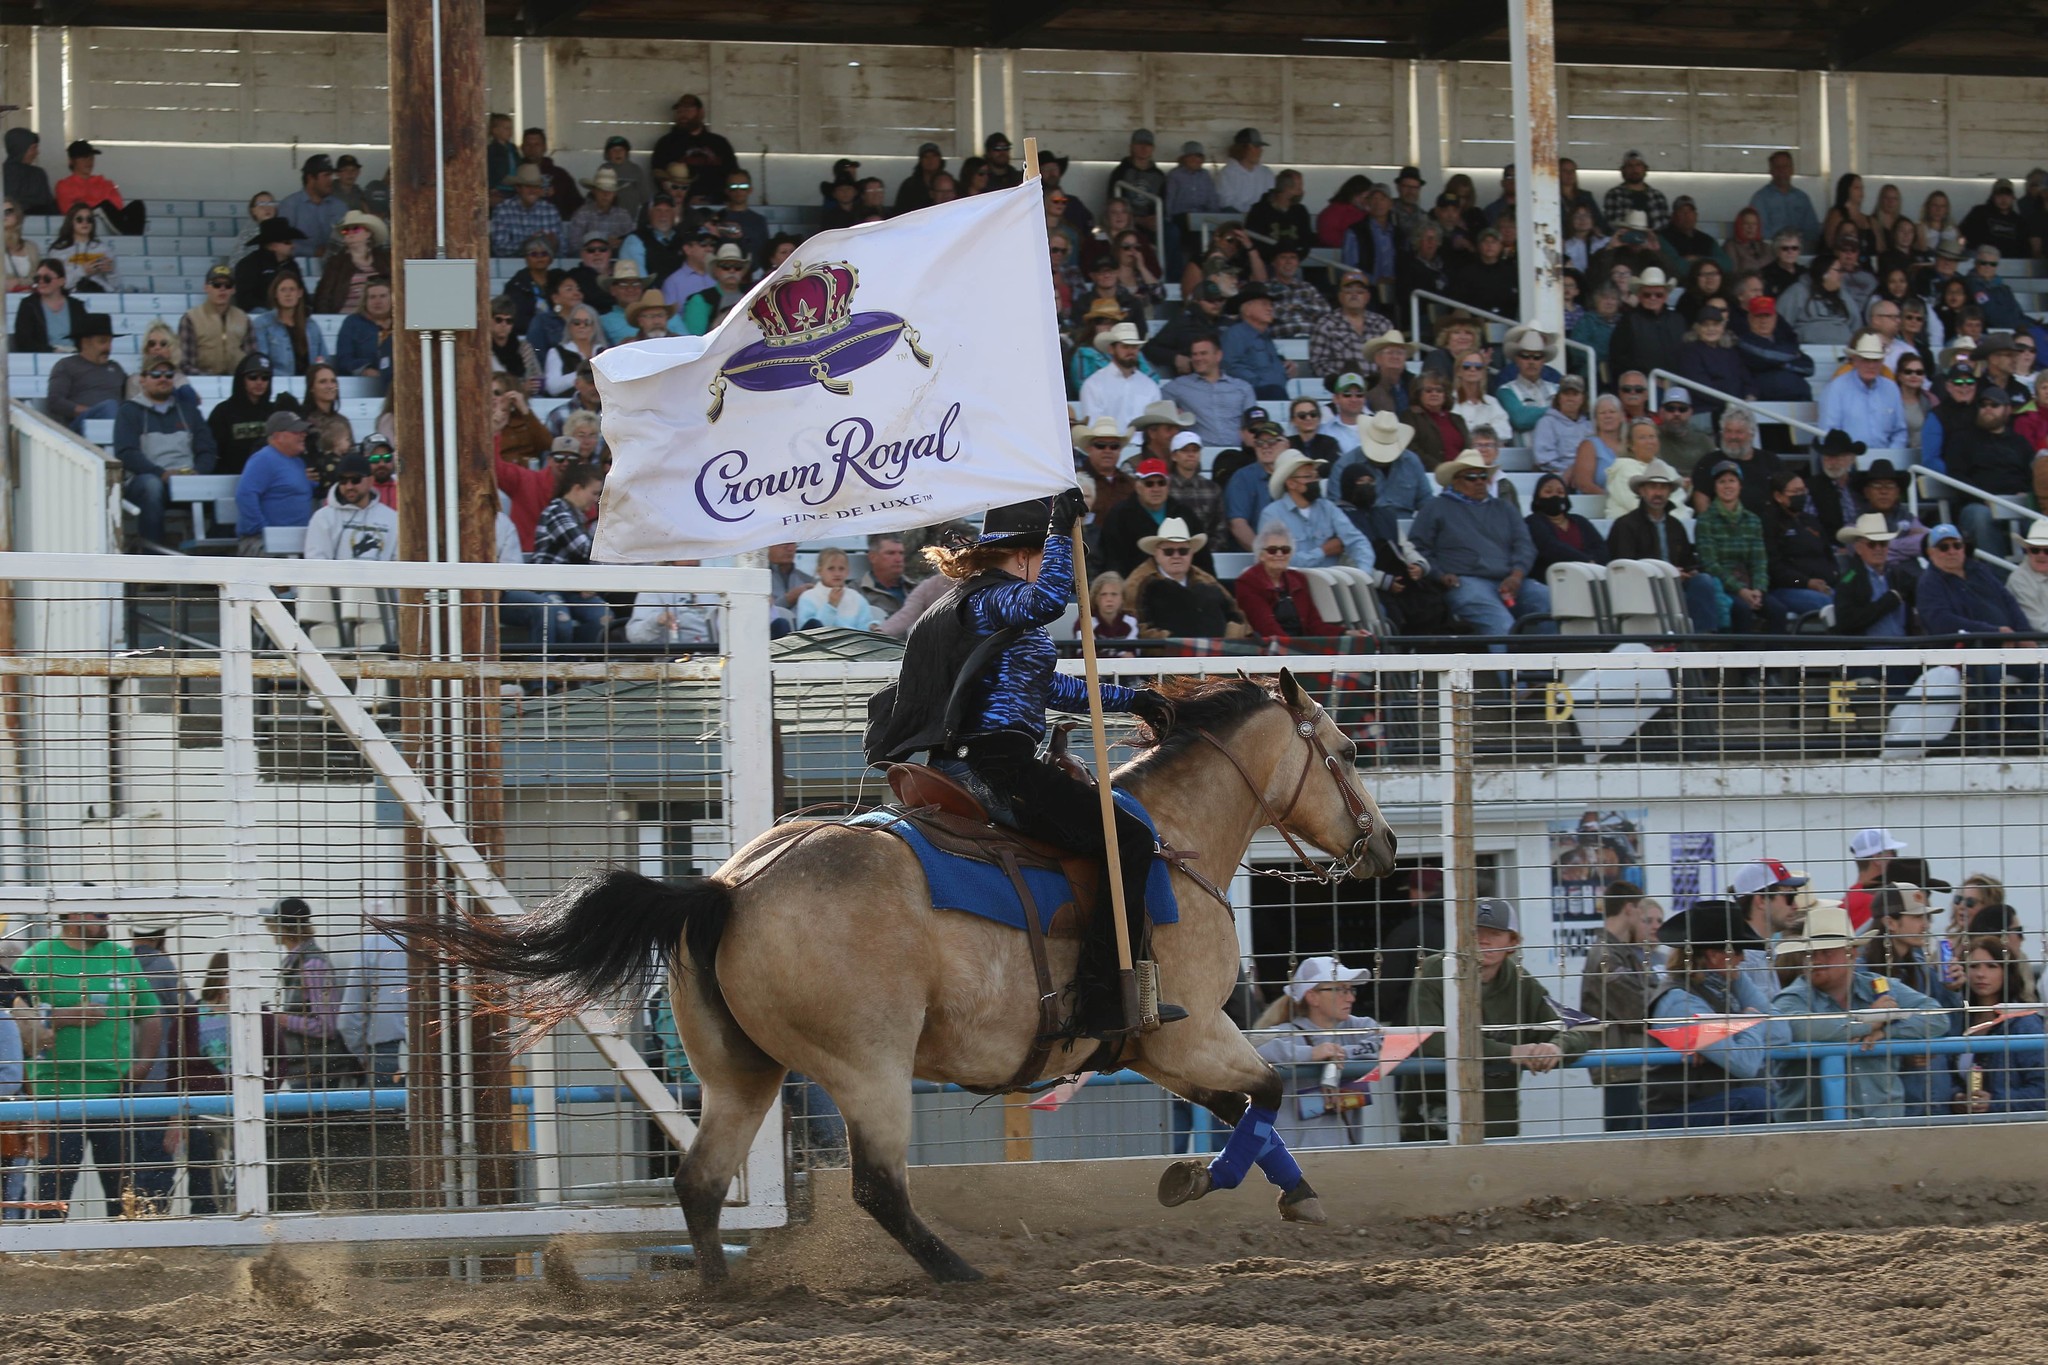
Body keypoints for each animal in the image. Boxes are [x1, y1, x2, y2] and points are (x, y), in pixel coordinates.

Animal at [407, 675, 1400, 1293]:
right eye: (1349, 749)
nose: (1384, 844)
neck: (1169, 841)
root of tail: (730, 886)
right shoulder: (1186, 1034)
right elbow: (1267, 1090)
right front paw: (1202, 1180)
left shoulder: (1155, 1049)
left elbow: (1249, 1106)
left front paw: (1288, 1190)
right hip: (870, 1068)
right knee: (877, 1188)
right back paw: (958, 1271)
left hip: (742, 1073)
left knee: (699, 1181)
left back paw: (725, 1291)